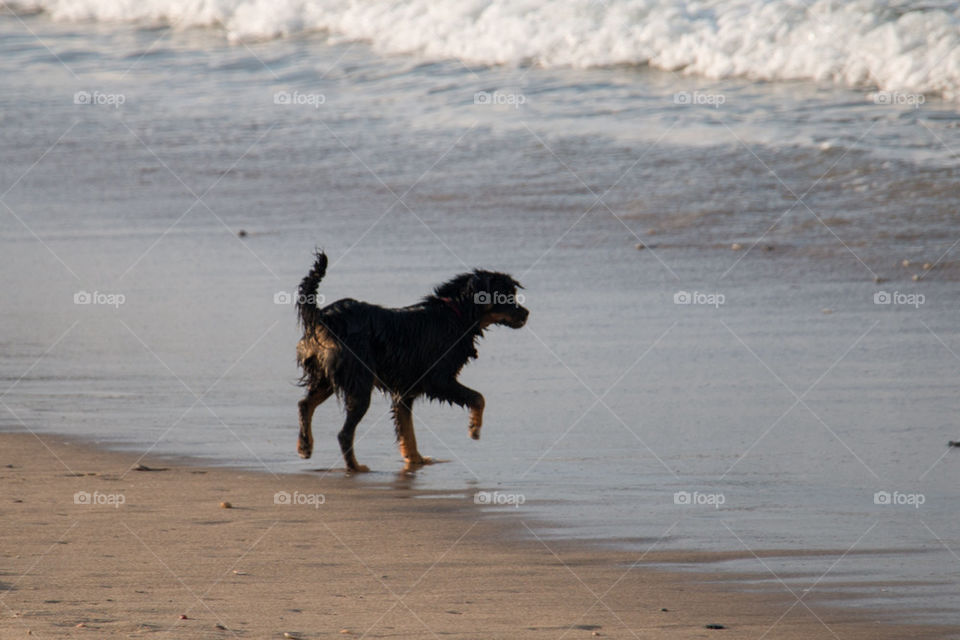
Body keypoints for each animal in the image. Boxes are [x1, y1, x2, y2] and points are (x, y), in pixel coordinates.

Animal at [294, 252, 528, 472]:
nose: (526, 313)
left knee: (305, 404)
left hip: (328, 377)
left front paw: (415, 459)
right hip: (359, 381)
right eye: (506, 297)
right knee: (344, 433)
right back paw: (355, 467)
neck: (456, 316)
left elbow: (407, 431)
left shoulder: (405, 392)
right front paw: (474, 428)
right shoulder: (438, 380)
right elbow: (478, 398)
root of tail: (323, 318)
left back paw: (305, 446)